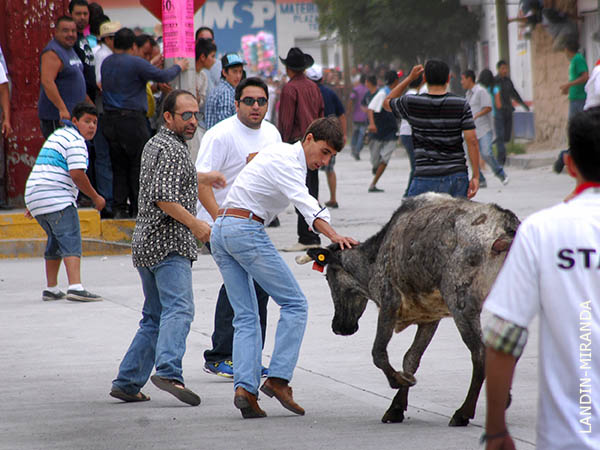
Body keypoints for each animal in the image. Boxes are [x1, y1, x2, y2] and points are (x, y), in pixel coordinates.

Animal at [298, 192, 516, 426]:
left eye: (328, 277)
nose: (338, 327)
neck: (374, 258)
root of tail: (505, 228)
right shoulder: (431, 316)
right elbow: (411, 357)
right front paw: (396, 407)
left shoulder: (389, 301)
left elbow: (378, 352)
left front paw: (399, 381)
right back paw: (503, 398)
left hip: (462, 305)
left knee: (480, 353)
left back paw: (463, 412)